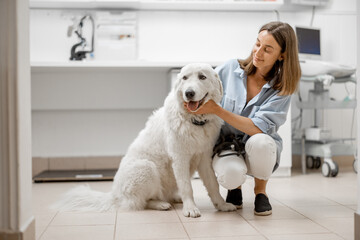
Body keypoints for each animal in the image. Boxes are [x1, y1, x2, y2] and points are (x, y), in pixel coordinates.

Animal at [54, 63, 236, 218]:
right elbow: (187, 187)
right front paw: (190, 208)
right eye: (185, 78)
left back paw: (174, 199)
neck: (194, 121)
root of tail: (115, 195)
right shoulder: (180, 158)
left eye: (202, 77)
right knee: (141, 202)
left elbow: (213, 184)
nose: (189, 93)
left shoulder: (204, 157)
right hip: (146, 167)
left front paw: (222, 205)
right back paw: (161, 204)